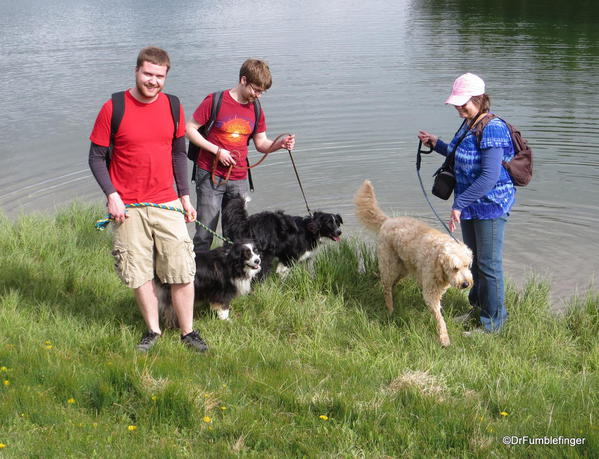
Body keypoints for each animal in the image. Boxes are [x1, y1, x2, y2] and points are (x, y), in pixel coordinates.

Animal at [356, 181, 474, 346]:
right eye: (455, 268)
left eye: (467, 266)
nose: (465, 284)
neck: (438, 259)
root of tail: (388, 221)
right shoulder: (430, 292)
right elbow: (439, 317)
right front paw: (444, 338)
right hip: (389, 265)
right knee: (386, 287)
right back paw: (390, 309)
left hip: (402, 269)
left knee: (390, 284)